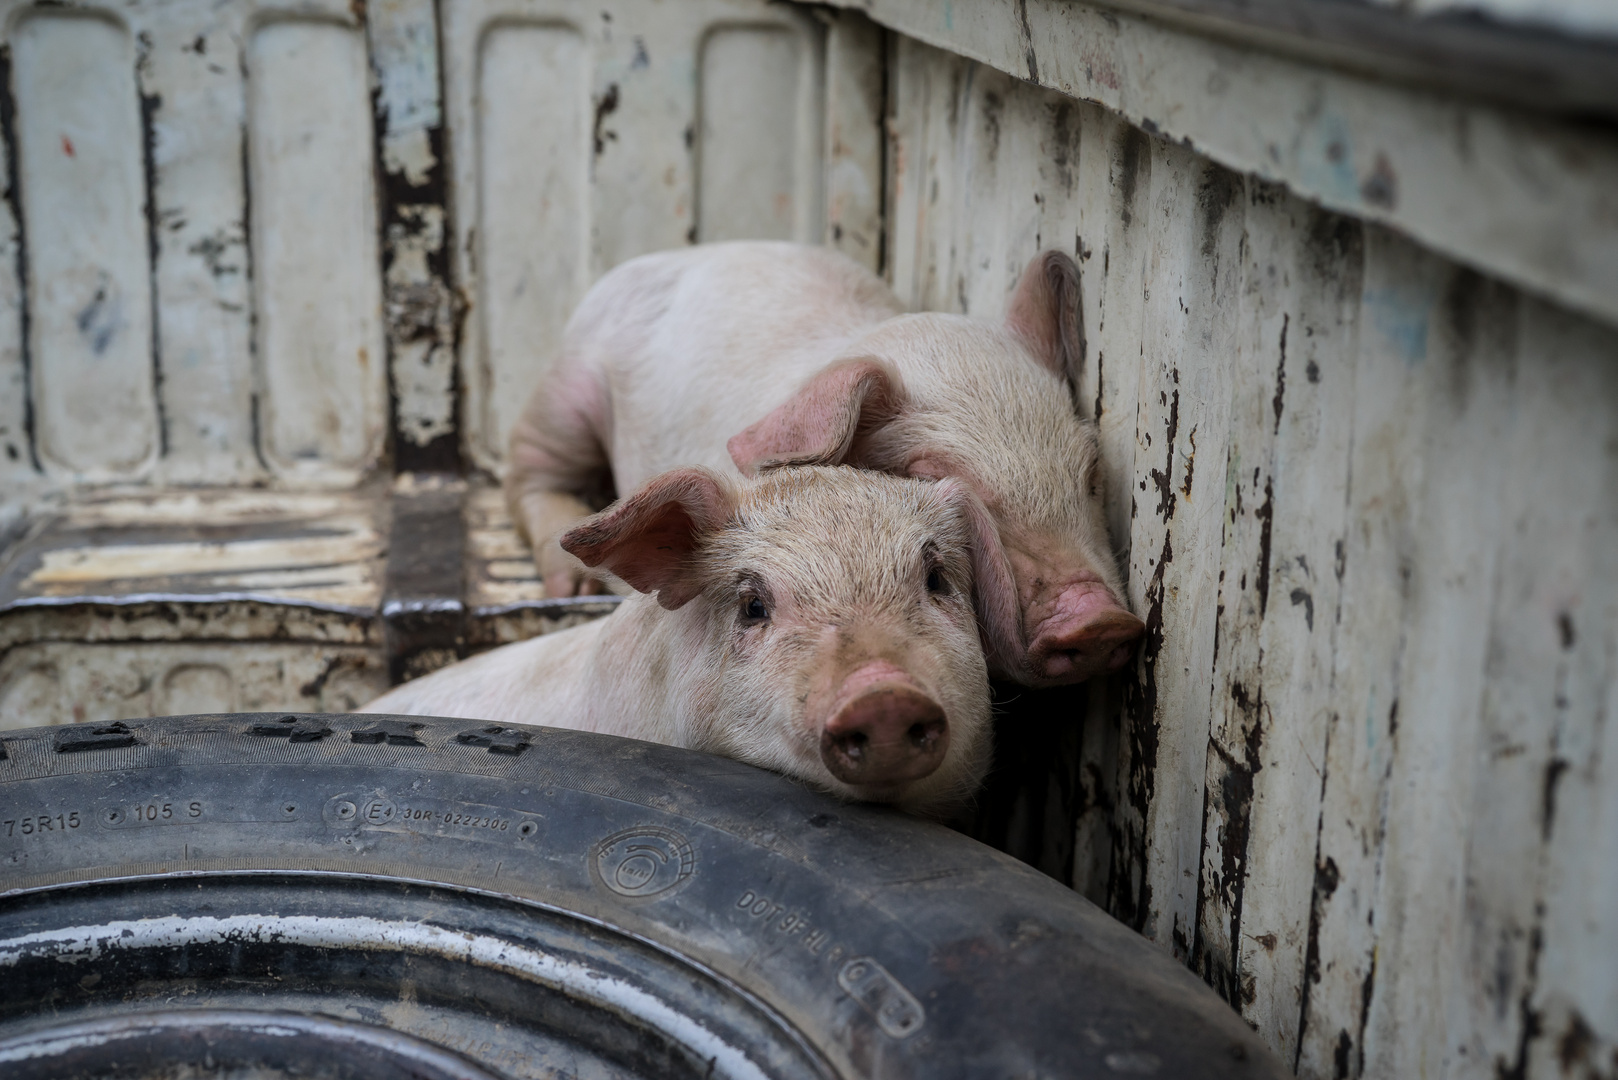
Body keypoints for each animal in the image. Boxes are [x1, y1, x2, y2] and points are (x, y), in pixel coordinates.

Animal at [501, 241, 1139, 689]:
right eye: (927, 473)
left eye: (1089, 472)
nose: (1097, 621)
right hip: (568, 387)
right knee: (527, 470)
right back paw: (573, 581)